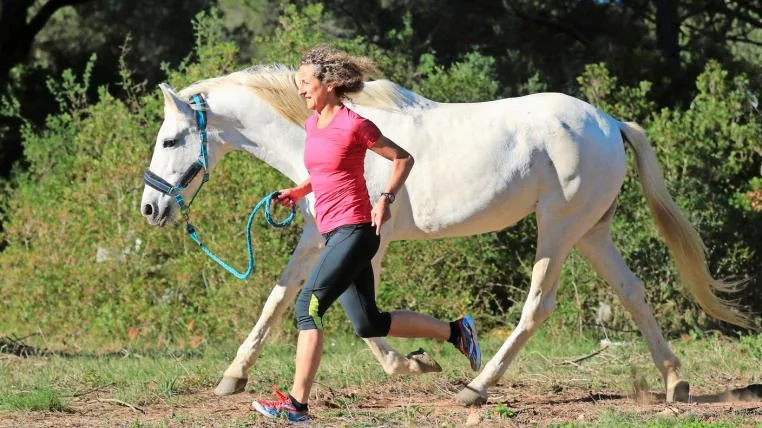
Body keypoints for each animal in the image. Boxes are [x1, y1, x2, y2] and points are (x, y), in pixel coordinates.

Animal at [140, 64, 753, 406]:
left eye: (170, 140)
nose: (150, 208)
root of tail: (609, 123)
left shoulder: (369, 243)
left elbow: (360, 317)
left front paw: (412, 365)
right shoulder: (317, 236)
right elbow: (279, 298)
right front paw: (232, 377)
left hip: (558, 228)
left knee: (537, 306)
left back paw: (476, 388)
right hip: (591, 232)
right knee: (632, 294)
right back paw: (674, 384)